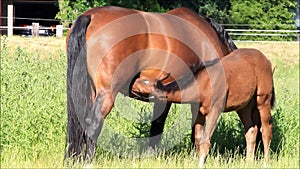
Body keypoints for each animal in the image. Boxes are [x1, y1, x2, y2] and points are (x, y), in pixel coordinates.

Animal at [131, 48, 274, 168]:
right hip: (244, 106)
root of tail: (266, 60)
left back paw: (266, 162)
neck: (203, 85)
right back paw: (248, 162)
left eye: (141, 85)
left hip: (263, 100)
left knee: (266, 129)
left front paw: (200, 164)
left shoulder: (215, 111)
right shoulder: (198, 113)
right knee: (251, 130)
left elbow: (205, 141)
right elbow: (198, 139)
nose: (130, 82)